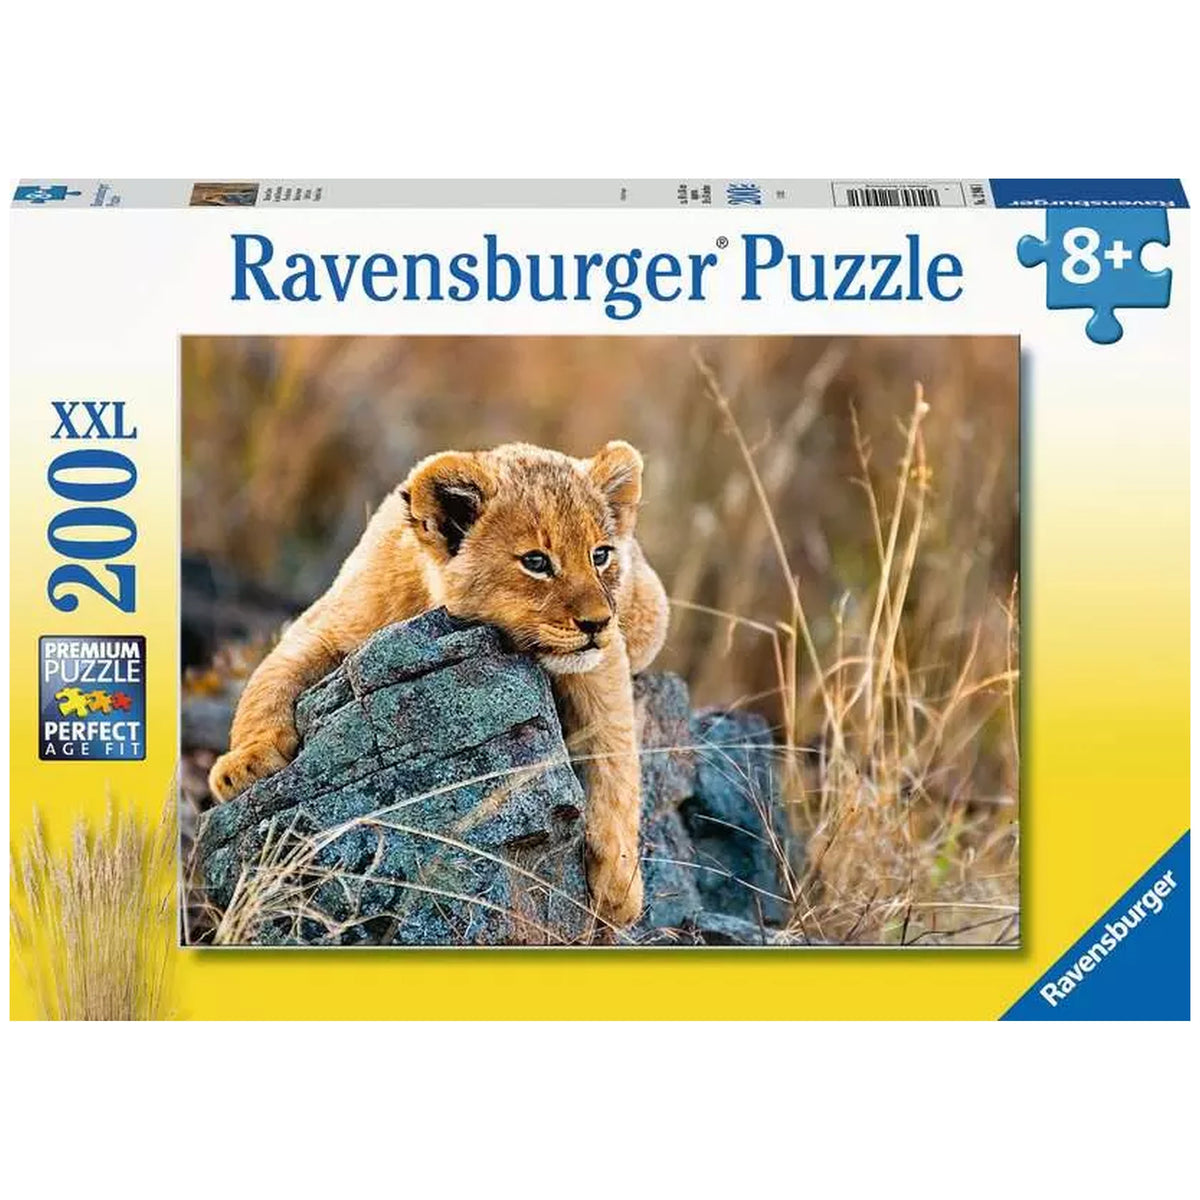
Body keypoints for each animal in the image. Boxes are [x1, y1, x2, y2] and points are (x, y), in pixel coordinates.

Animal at [208, 440, 669, 927]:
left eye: (600, 555)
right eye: (536, 562)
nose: (597, 623)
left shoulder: (602, 664)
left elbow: (615, 758)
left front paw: (619, 885)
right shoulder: (325, 624)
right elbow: (268, 679)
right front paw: (244, 765)